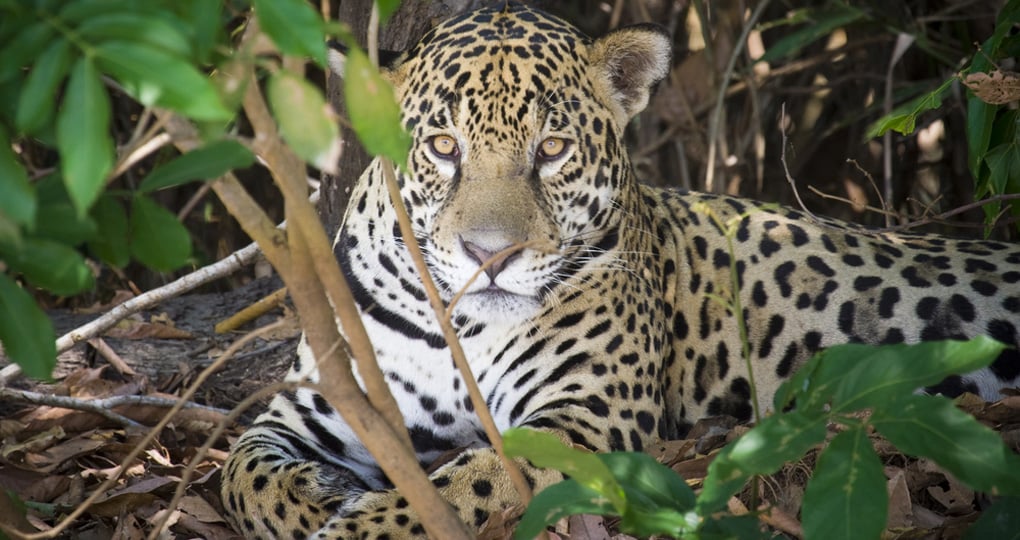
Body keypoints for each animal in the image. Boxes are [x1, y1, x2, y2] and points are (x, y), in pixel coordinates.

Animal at [221, 3, 1020, 538]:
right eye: (443, 147)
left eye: (551, 150)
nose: (491, 256)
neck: (465, 327)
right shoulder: (310, 406)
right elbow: (242, 472)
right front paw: (322, 494)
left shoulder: (587, 415)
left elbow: (466, 484)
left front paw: (358, 522)